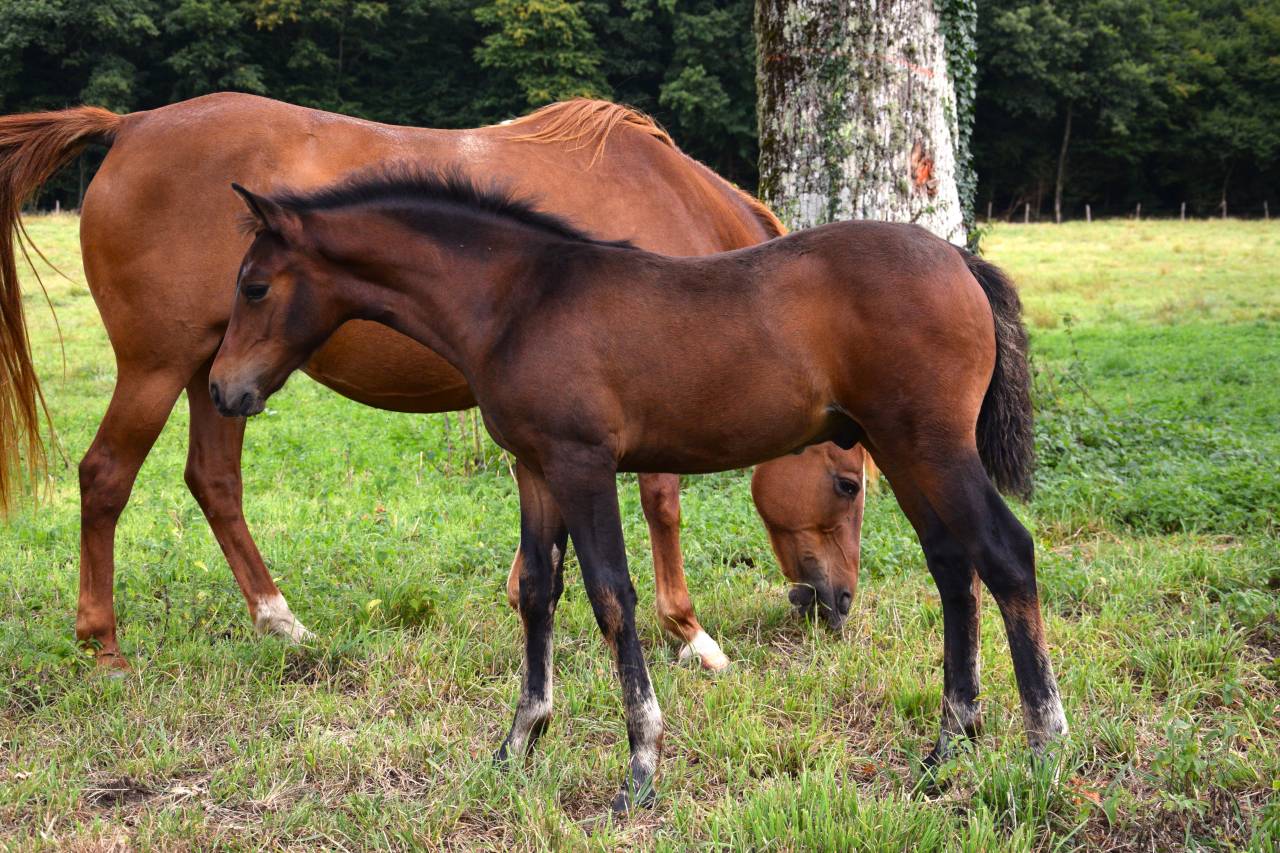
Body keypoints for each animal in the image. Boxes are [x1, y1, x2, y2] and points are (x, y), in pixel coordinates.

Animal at [0, 94, 867, 672]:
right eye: (849, 484)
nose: (837, 605)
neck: (666, 200)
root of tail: (132, 124)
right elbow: (662, 504)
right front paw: (691, 634)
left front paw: (529, 602)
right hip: (157, 369)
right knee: (105, 477)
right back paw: (103, 644)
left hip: (223, 376)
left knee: (214, 481)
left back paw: (281, 622)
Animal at [210, 169, 1068, 812]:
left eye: (254, 287)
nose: (224, 389)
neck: (518, 299)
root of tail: (957, 261)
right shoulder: (536, 468)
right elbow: (539, 591)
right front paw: (517, 744)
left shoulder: (582, 463)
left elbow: (611, 594)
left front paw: (642, 765)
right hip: (903, 445)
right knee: (953, 567)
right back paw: (948, 746)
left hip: (930, 443)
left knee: (1005, 553)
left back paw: (1043, 748)